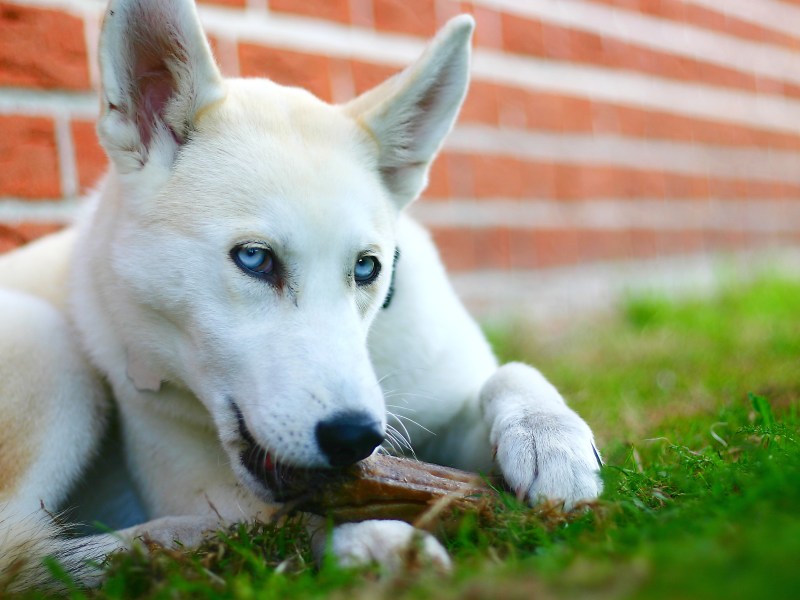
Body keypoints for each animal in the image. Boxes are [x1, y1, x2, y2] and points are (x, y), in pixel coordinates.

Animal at [0, 0, 600, 592]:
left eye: (367, 267)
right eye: (253, 258)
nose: (356, 437)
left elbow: (511, 372)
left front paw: (552, 438)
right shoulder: (209, 482)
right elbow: (298, 510)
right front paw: (377, 536)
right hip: (48, 343)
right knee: (24, 552)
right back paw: (173, 546)